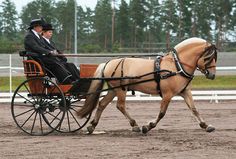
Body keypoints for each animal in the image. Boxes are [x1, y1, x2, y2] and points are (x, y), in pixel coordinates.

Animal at [77, 37, 218, 134]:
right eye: (209, 58)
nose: (212, 75)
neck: (176, 66)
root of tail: (108, 63)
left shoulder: (184, 92)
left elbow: (194, 109)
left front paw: (206, 126)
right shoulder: (167, 94)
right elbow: (162, 113)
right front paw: (148, 126)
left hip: (113, 90)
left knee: (102, 104)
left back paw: (92, 125)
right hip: (121, 89)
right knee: (120, 106)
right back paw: (135, 125)